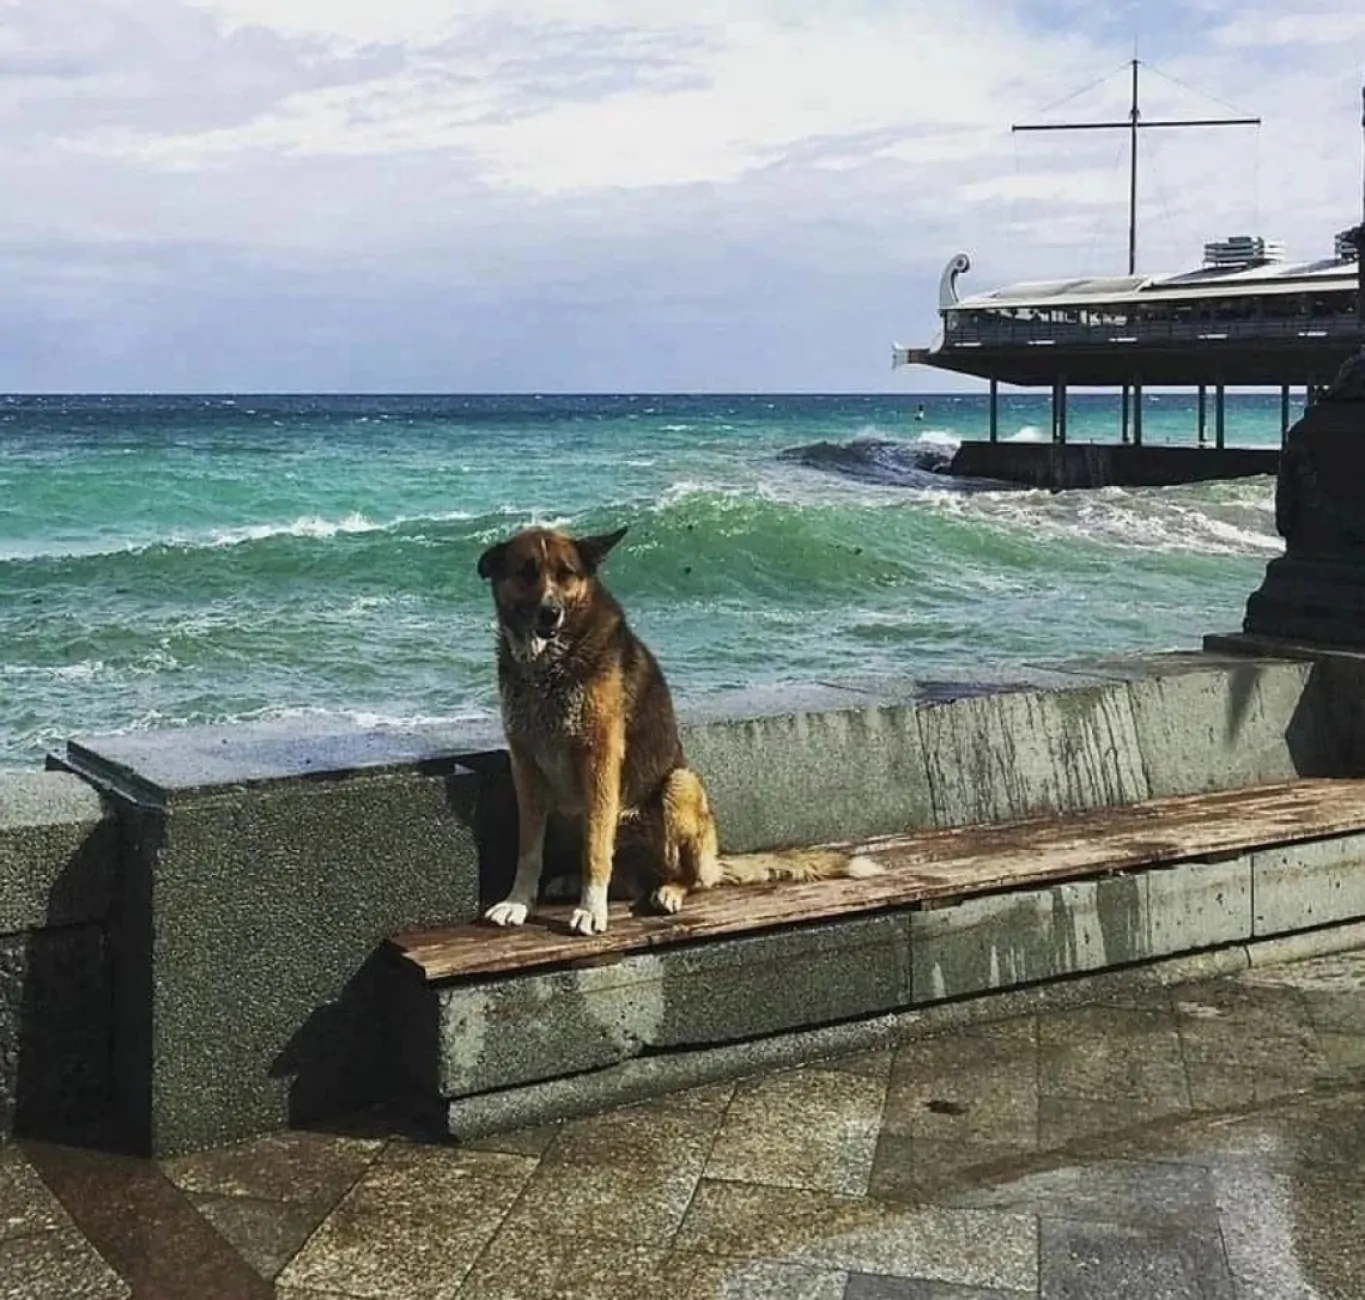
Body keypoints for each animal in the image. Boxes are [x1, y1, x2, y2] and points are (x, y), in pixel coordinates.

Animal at [480, 524, 884, 939]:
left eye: (566, 574)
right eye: (527, 572)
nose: (550, 613)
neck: (548, 666)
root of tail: (714, 862)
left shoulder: (600, 758)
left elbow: (595, 850)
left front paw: (591, 909)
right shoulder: (525, 765)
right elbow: (529, 850)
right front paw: (518, 902)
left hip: (680, 785)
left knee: (684, 876)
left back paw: (668, 890)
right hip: (574, 812)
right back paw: (577, 881)